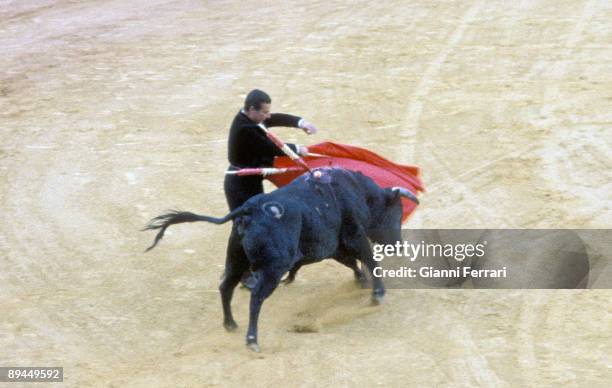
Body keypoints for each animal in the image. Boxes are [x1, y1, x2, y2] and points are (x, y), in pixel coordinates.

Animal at [144, 167, 420, 352]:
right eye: (397, 211)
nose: (397, 245)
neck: (357, 191)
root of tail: (249, 209)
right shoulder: (353, 237)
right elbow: (370, 261)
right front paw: (377, 294)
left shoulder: (331, 245)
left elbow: (351, 262)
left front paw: (360, 281)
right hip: (272, 268)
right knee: (256, 298)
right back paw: (252, 340)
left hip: (236, 259)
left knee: (226, 286)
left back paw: (230, 324)